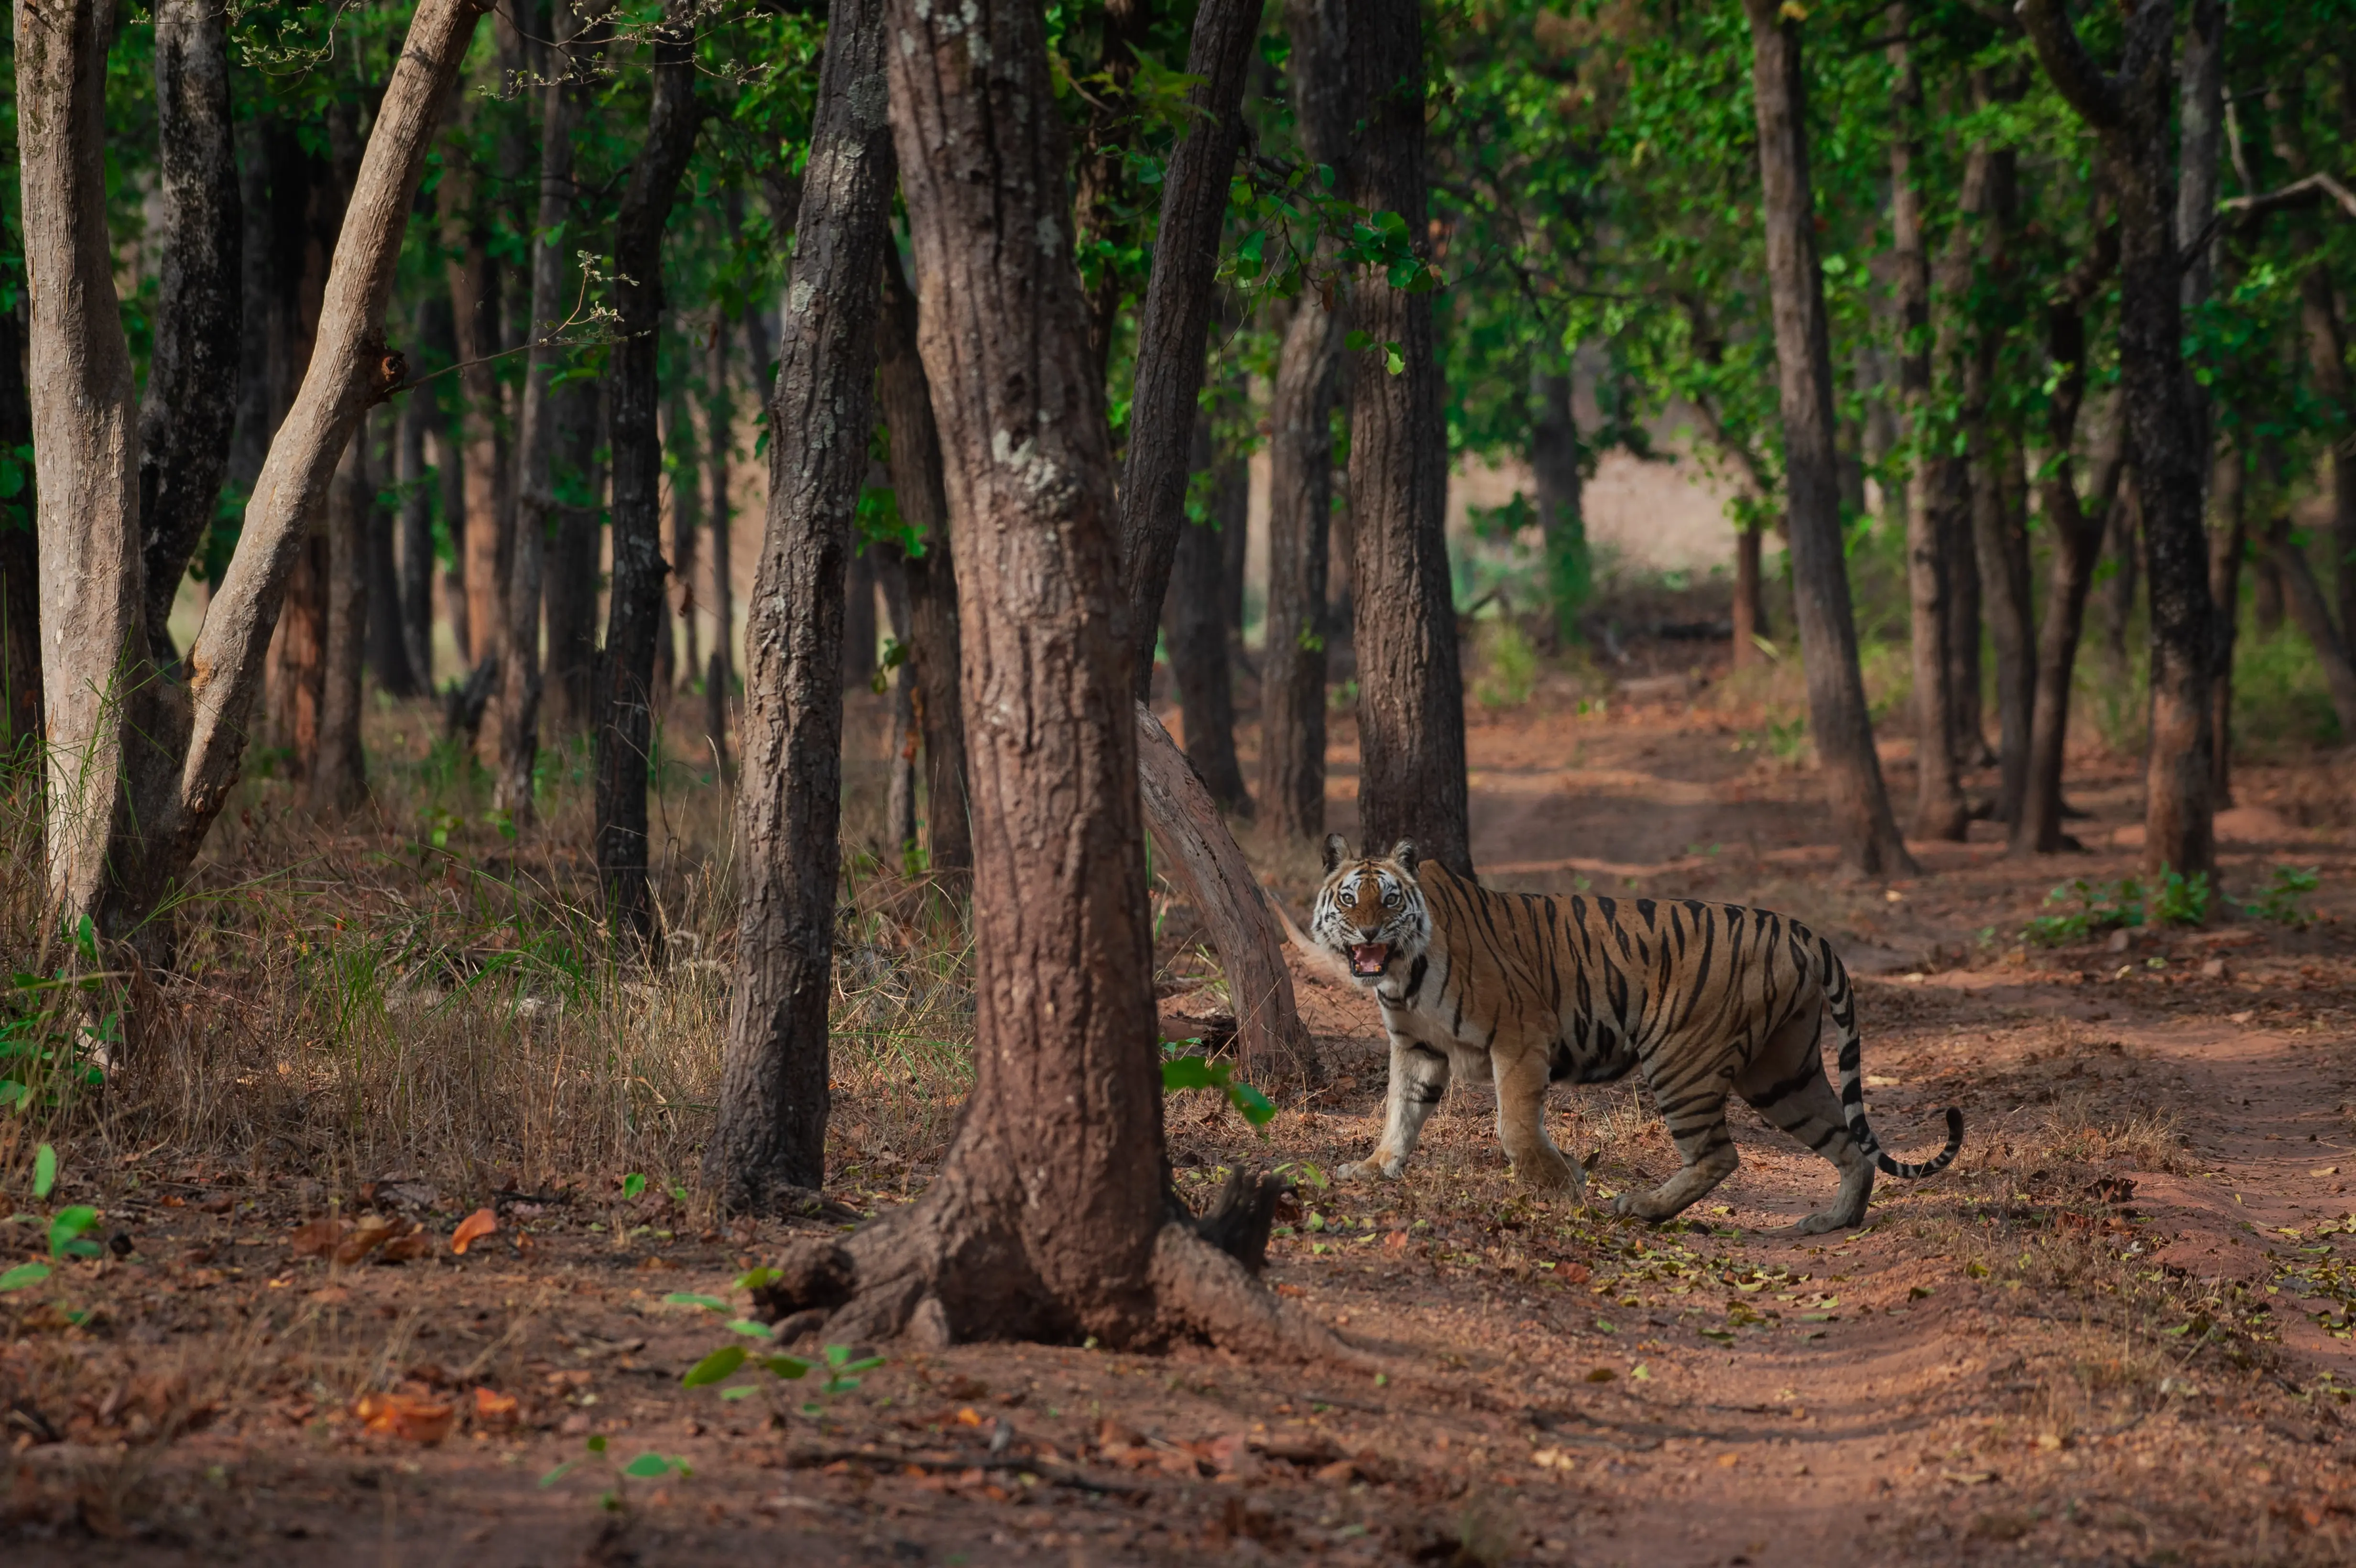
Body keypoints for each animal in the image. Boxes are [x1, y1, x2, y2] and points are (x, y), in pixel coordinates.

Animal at [1307, 835, 1961, 1234]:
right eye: (1350, 898)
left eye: (1390, 901)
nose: (1367, 934)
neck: (1401, 974)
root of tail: (1800, 930)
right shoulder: (1416, 1046)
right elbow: (1400, 1111)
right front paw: (1373, 1168)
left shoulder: (1520, 1035)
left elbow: (1514, 1125)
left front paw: (1561, 1188)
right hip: (1781, 1072)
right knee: (1845, 1141)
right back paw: (1833, 1221)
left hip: (1681, 1059)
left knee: (1719, 1152)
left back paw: (1642, 1207)